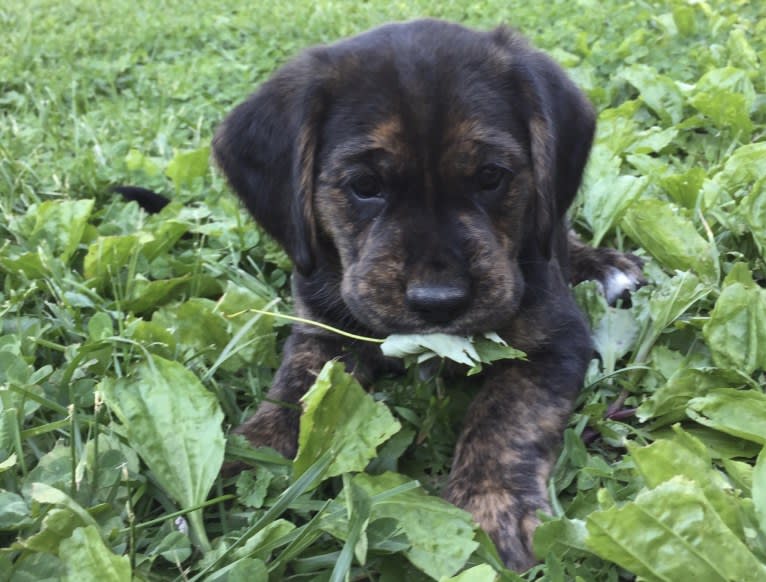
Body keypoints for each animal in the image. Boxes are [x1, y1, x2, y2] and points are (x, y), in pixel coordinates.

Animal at [213, 20, 644, 572]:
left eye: (490, 176)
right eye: (364, 185)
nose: (439, 301)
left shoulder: (557, 339)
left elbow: (507, 413)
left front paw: (491, 507)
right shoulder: (321, 329)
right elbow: (300, 388)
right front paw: (253, 450)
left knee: (563, 236)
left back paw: (608, 266)